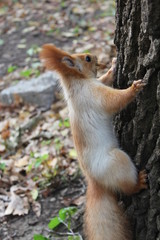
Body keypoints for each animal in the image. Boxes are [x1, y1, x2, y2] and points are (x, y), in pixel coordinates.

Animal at [39, 44, 148, 238]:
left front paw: (113, 66)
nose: (96, 57)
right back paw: (139, 183)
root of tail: (95, 182)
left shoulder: (97, 85)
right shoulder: (94, 96)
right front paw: (134, 88)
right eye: (88, 58)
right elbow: (114, 100)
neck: (77, 82)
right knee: (127, 187)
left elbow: (104, 79)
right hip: (117, 161)